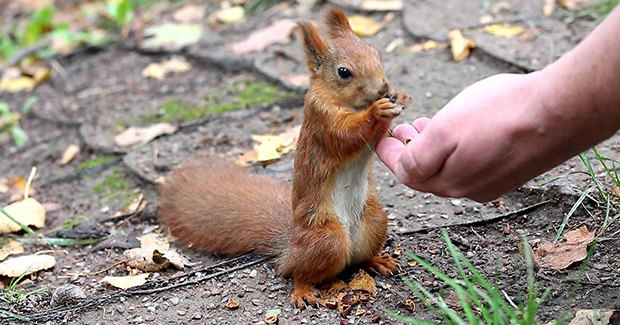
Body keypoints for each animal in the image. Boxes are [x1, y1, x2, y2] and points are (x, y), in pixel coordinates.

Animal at [160, 6, 412, 308]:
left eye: (375, 53)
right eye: (344, 72)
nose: (383, 87)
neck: (348, 103)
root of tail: (290, 243)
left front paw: (399, 96)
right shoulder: (322, 120)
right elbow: (345, 136)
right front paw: (377, 110)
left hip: (374, 220)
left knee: (358, 259)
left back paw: (378, 261)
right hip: (327, 238)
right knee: (297, 271)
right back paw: (303, 290)